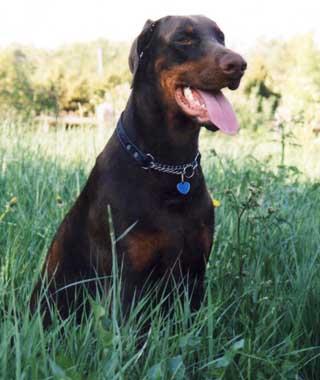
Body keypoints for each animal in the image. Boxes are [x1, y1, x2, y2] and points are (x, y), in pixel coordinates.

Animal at [30, 14, 246, 324]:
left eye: (221, 37)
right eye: (183, 38)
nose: (239, 64)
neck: (169, 167)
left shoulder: (195, 273)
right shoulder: (129, 279)